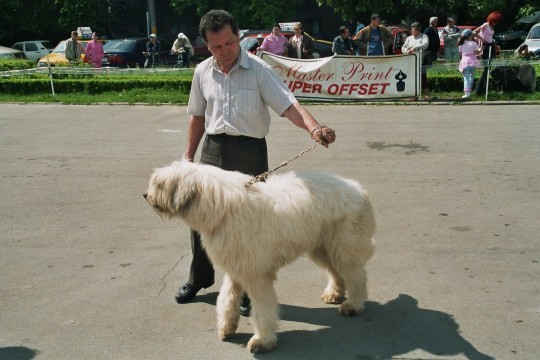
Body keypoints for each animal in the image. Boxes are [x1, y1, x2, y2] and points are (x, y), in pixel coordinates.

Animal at [143, 162, 376, 352]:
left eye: (160, 184)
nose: (145, 195)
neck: (222, 209)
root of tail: (359, 189)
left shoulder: (256, 275)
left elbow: (263, 308)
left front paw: (262, 341)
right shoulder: (236, 267)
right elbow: (227, 298)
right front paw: (226, 327)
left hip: (344, 245)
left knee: (356, 276)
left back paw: (353, 305)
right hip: (322, 247)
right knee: (336, 272)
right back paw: (334, 293)